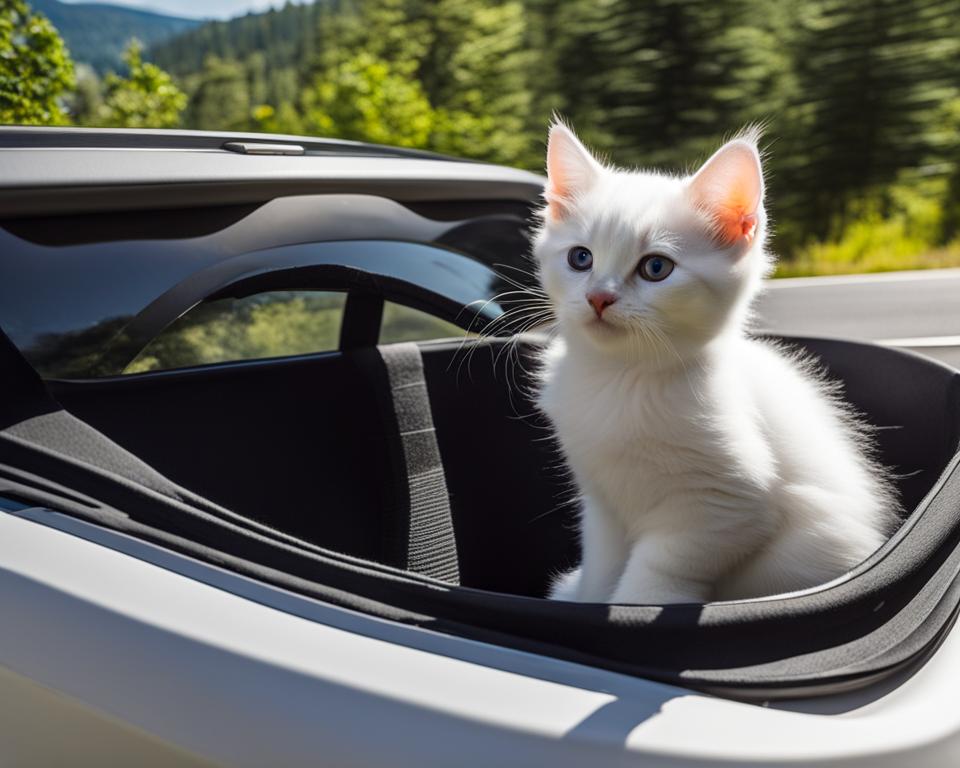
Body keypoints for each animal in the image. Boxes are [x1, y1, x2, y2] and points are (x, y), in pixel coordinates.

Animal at [536, 120, 896, 604]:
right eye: (580, 258)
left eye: (655, 268)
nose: (598, 297)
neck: (621, 378)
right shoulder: (602, 504)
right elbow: (601, 565)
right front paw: (589, 603)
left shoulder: (723, 508)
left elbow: (655, 573)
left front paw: (632, 606)